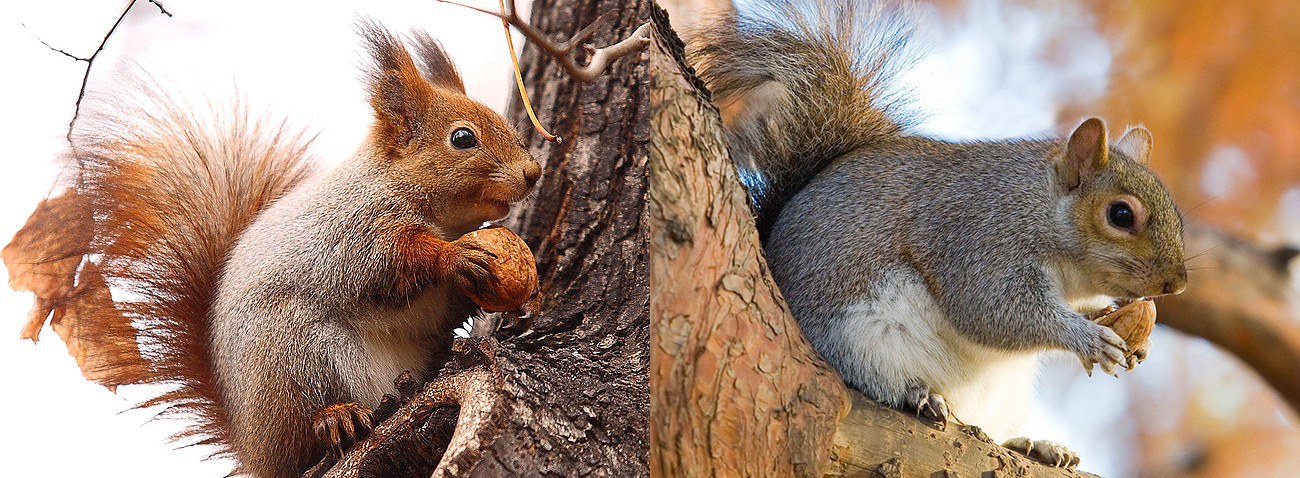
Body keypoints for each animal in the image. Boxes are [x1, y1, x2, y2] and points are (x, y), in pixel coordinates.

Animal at [3, 22, 538, 478]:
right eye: (462, 138)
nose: (533, 172)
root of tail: (254, 446)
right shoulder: (351, 233)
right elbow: (385, 266)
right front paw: (456, 258)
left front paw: (513, 293)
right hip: (293, 346)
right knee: (305, 435)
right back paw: (335, 417)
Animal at [691, 0, 1190, 465]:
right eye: (1121, 215)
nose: (1178, 284)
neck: (1039, 210)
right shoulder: (978, 238)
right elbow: (993, 310)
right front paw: (1087, 338)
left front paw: (1124, 328)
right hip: (856, 338)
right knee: (872, 379)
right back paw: (918, 394)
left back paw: (1035, 445)